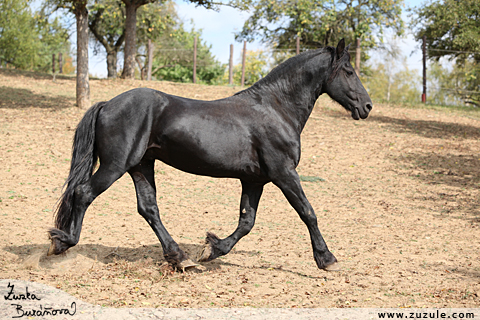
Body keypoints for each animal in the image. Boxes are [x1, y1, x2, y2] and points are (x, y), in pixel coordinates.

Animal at [47, 38, 372, 272]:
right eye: (349, 71)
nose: (367, 106)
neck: (276, 108)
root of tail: (107, 104)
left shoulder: (255, 181)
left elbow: (246, 222)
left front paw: (211, 250)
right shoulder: (284, 173)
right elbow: (308, 212)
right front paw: (327, 259)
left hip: (141, 165)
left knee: (148, 208)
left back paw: (180, 258)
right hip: (116, 165)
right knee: (83, 193)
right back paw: (62, 243)